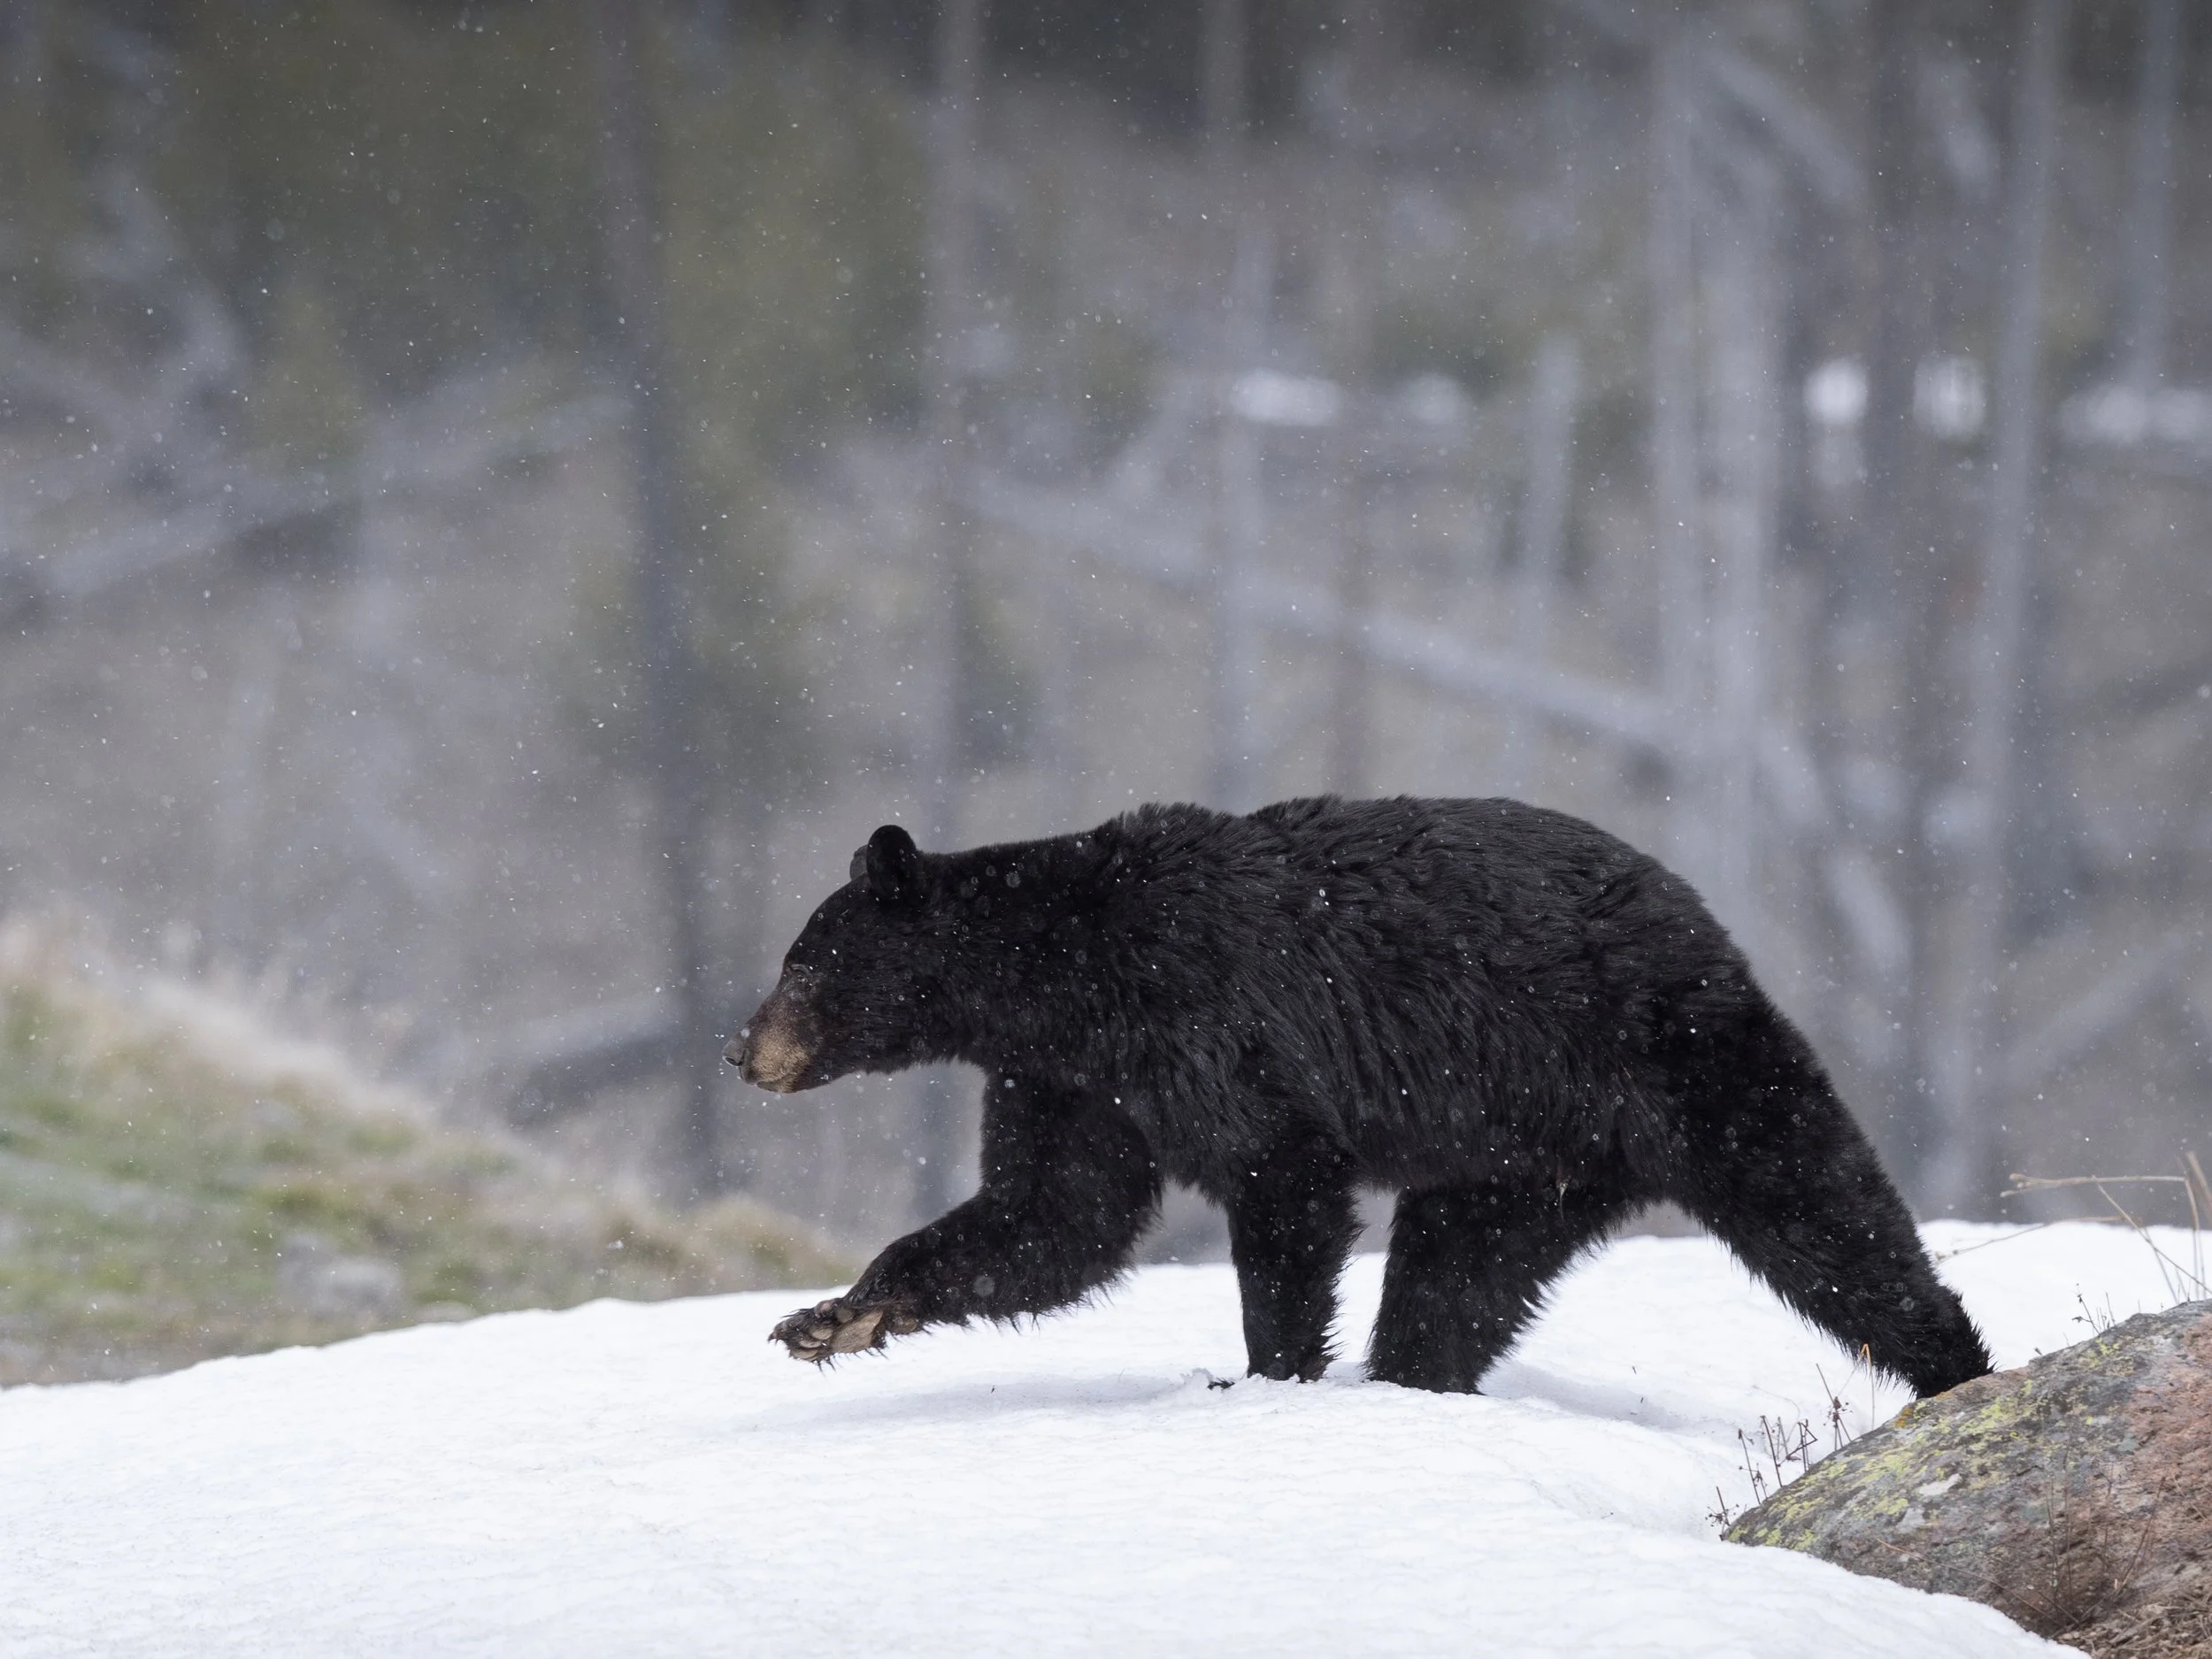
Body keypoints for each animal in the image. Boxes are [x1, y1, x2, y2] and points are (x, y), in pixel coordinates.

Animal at [729, 795, 1992, 1397]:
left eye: (801, 961)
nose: (741, 1050)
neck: (1067, 979)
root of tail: (1710, 926)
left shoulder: (1208, 1018)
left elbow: (1281, 1190)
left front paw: (1265, 1373)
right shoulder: (1075, 1081)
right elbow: (1050, 1218)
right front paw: (830, 1317)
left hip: (1678, 1059)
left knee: (1818, 1208)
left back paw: (1955, 1369)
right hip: (1515, 1161)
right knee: (1456, 1278)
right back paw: (1415, 1382)